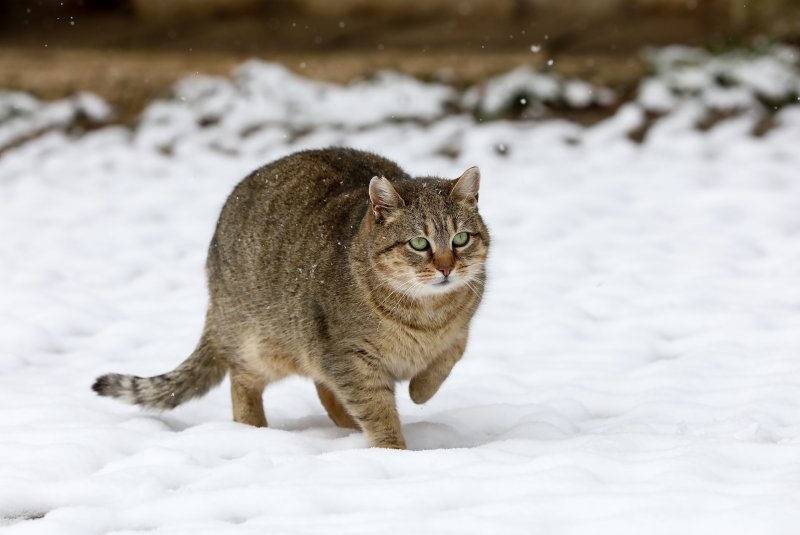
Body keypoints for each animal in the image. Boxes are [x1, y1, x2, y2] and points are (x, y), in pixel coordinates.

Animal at [93, 146, 488, 448]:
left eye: (461, 239)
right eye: (419, 243)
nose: (447, 268)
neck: (426, 314)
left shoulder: (461, 327)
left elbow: (448, 356)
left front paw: (420, 390)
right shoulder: (348, 356)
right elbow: (377, 411)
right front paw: (394, 450)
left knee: (323, 389)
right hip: (262, 344)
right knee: (242, 383)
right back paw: (253, 429)